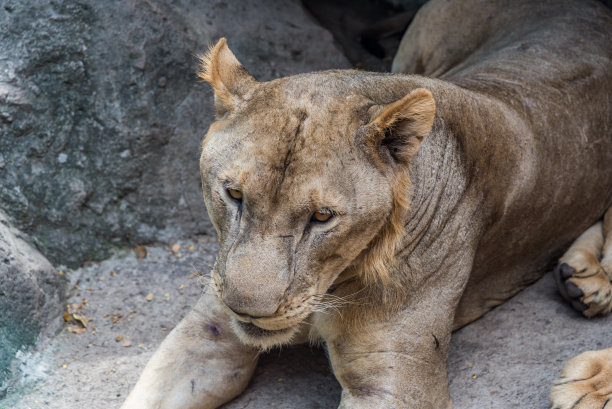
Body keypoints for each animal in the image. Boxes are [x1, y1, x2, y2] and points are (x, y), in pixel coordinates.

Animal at [120, 0, 612, 406]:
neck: (331, 283)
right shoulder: (209, 336)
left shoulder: (393, 385)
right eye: (234, 194)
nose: (248, 309)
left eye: (322, 217)